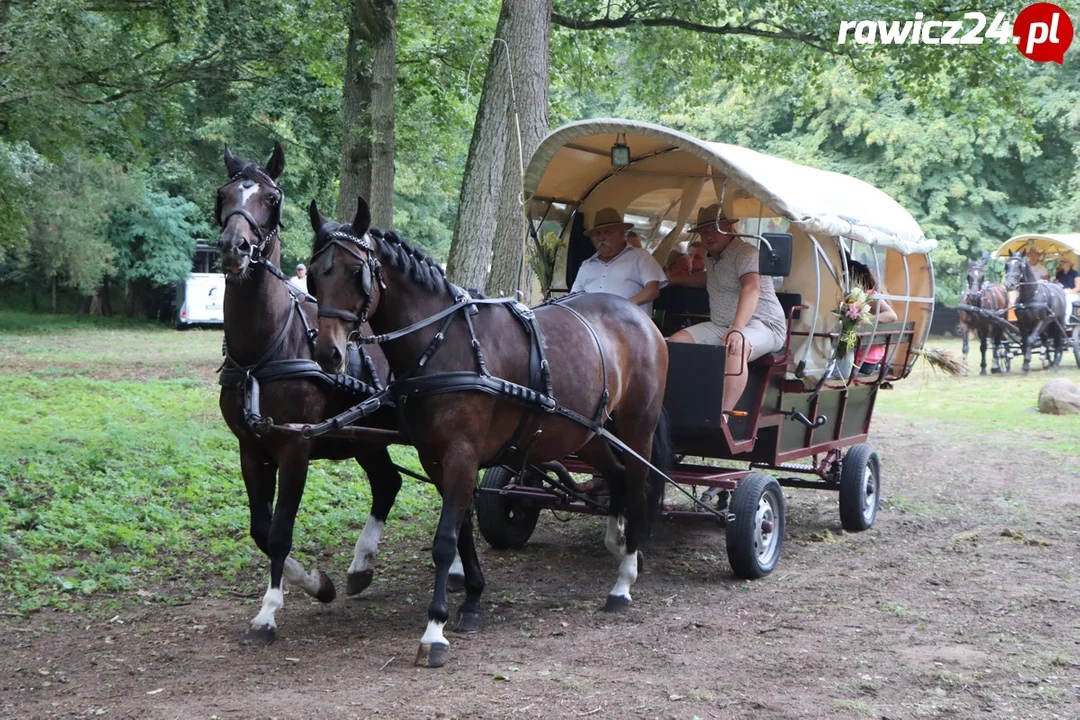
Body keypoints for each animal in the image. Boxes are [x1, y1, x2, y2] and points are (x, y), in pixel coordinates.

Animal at [308, 198, 669, 669]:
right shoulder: (435, 457)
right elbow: (461, 530)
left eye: (356, 272)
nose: (327, 353)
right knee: (619, 478)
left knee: (640, 485)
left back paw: (624, 580)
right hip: (588, 433)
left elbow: (445, 540)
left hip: (637, 426)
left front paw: (435, 629)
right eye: (315, 275)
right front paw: (472, 601)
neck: (443, 342)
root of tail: (641, 320)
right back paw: (617, 542)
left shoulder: (461, 453)